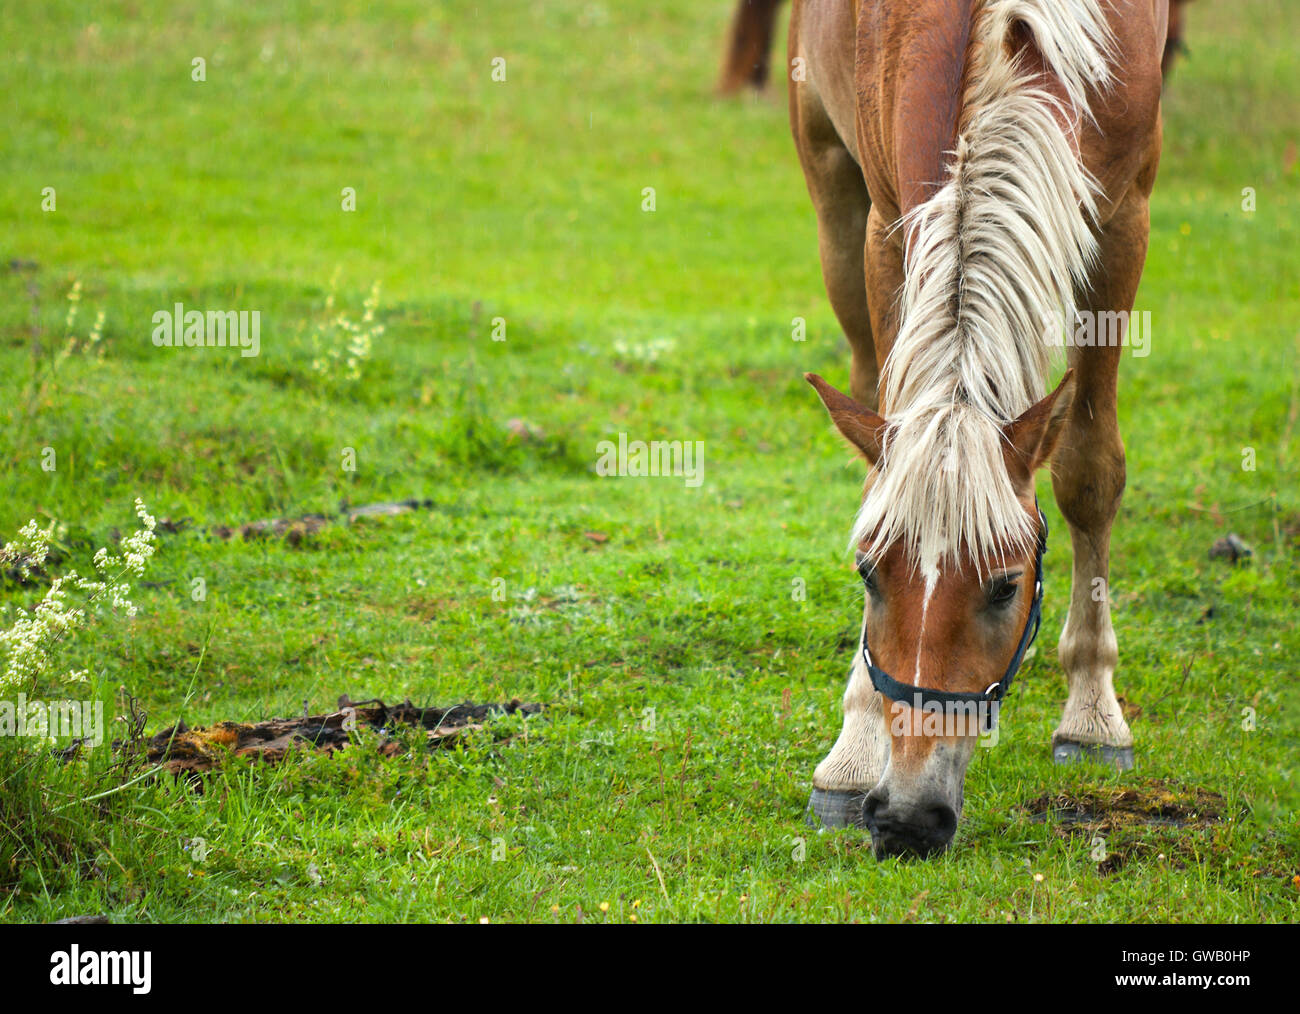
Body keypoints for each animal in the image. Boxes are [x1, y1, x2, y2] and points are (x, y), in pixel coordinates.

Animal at [790, 1, 1170, 857]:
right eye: (869, 574)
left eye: (1004, 586)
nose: (905, 819)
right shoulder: (887, 225)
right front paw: (855, 746)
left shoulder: (1124, 214)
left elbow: (1090, 472)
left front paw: (1092, 711)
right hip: (830, 185)